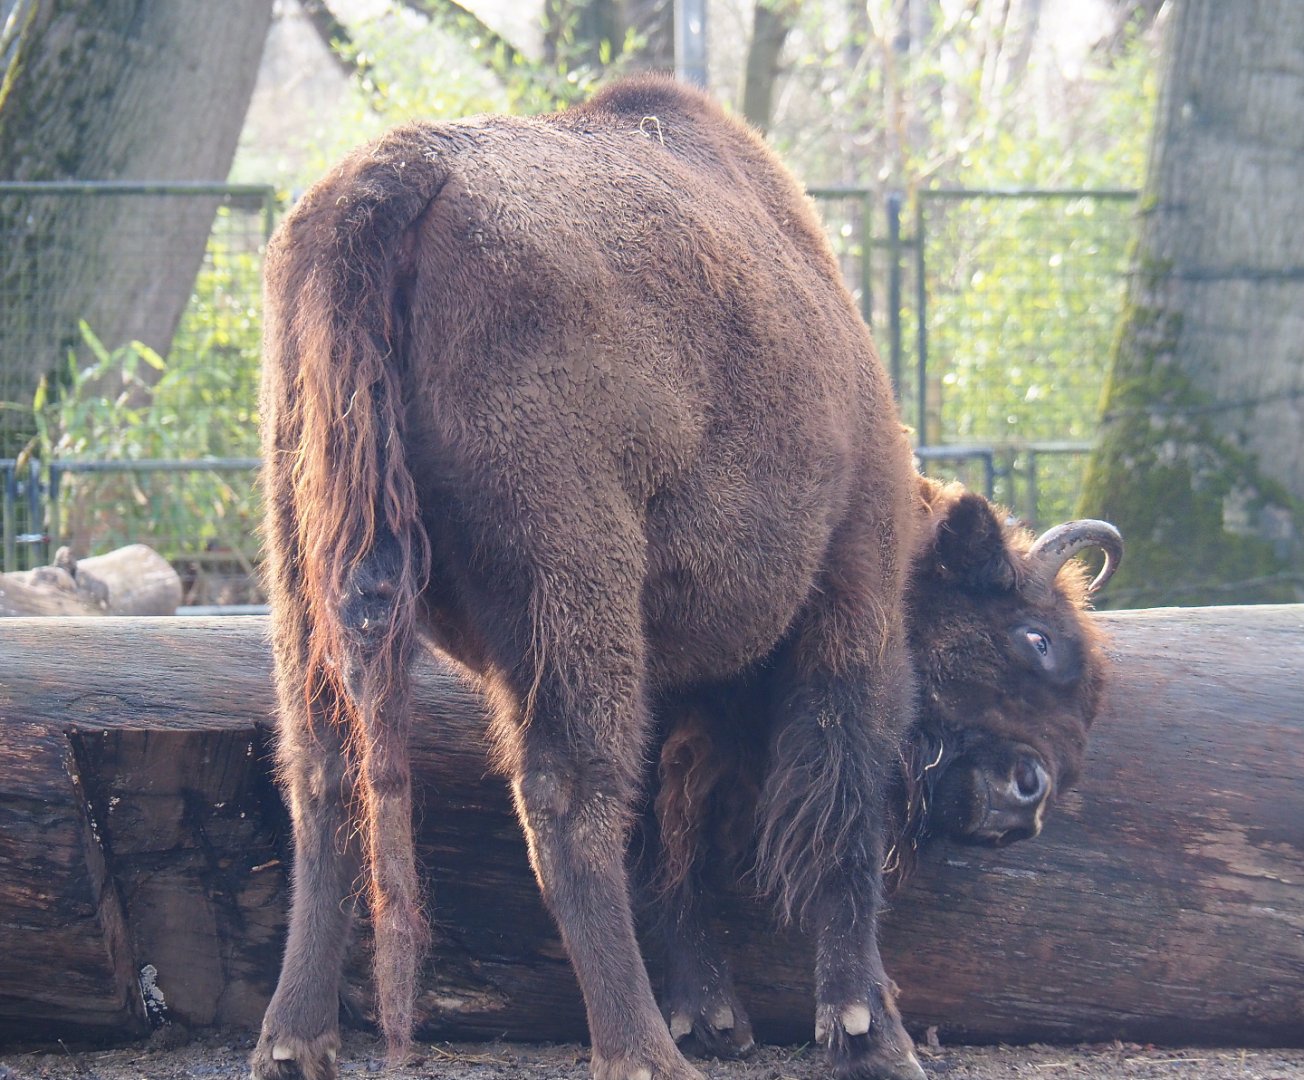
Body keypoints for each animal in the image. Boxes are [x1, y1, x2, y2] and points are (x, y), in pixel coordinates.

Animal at [251, 76, 1121, 1080]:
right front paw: (870, 1031)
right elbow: (840, 810)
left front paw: (714, 1009)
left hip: (305, 572)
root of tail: (398, 173)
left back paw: (294, 1040)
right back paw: (644, 1053)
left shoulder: (671, 675)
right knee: (565, 799)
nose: (1031, 797)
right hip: (571, 583)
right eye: (1035, 639)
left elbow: (674, 831)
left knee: (323, 772)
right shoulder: (851, 603)